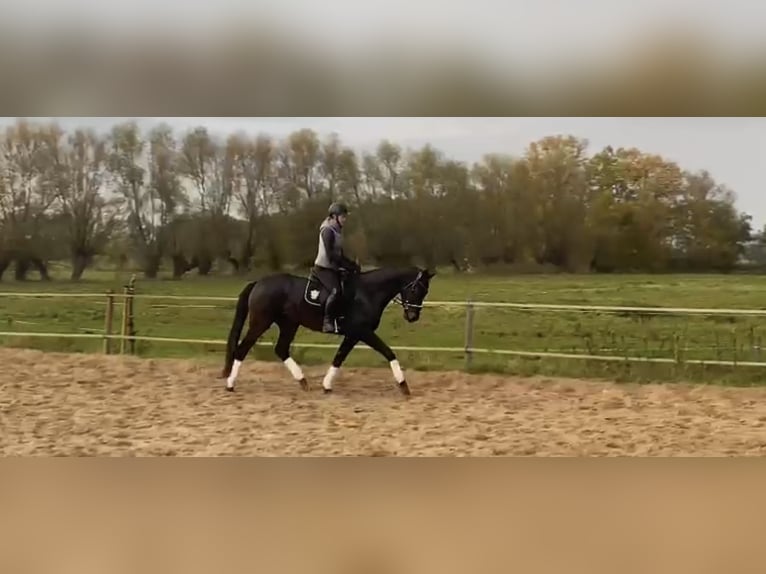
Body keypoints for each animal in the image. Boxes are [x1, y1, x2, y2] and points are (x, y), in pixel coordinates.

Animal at [221, 266, 436, 396]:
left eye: (425, 291)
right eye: (416, 289)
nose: (412, 317)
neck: (367, 293)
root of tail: (258, 283)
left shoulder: (352, 335)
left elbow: (339, 357)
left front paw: (326, 385)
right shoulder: (362, 332)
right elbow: (388, 352)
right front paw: (403, 385)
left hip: (289, 324)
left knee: (281, 349)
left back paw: (303, 382)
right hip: (261, 323)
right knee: (242, 349)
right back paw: (230, 384)